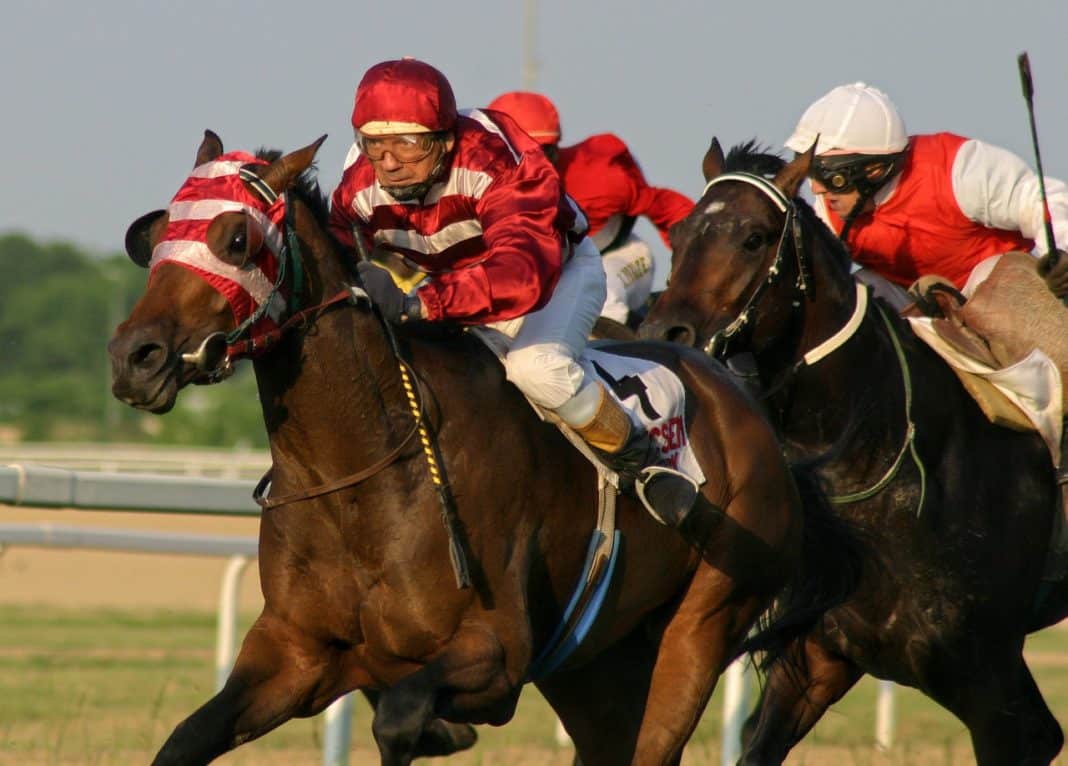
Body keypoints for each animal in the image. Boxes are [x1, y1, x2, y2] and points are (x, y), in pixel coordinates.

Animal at [106, 133, 858, 764]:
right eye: (160, 232)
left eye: (236, 236)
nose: (135, 356)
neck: (363, 471)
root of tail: (741, 399)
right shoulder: (294, 653)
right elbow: (186, 738)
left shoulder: (496, 653)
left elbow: (400, 718)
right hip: (597, 664)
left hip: (704, 620)